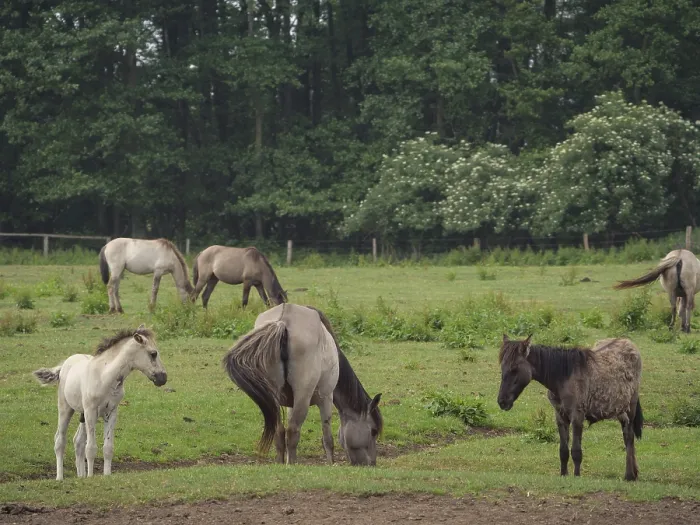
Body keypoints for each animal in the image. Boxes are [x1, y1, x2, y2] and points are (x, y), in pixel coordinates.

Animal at [32, 325, 167, 480]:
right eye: (153, 354)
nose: (163, 378)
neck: (105, 377)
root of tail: (64, 365)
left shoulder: (112, 412)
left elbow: (108, 448)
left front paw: (106, 475)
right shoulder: (91, 412)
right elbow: (91, 448)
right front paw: (91, 477)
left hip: (82, 414)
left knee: (78, 441)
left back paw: (81, 476)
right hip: (66, 408)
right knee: (60, 440)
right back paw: (60, 478)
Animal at [222, 303, 383, 466]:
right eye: (373, 431)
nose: (371, 464)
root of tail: (282, 322)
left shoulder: (290, 405)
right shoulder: (326, 398)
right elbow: (328, 440)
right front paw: (331, 464)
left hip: (275, 397)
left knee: (279, 431)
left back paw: (281, 463)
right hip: (303, 397)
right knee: (292, 431)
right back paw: (292, 464)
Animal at [497, 335, 643, 481]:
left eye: (514, 369)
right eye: (502, 368)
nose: (502, 402)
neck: (563, 379)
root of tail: (629, 343)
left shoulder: (577, 416)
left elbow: (576, 451)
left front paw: (577, 476)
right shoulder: (560, 416)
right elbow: (563, 450)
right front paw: (564, 474)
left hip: (630, 407)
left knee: (629, 436)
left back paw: (629, 475)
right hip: (620, 409)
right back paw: (634, 472)